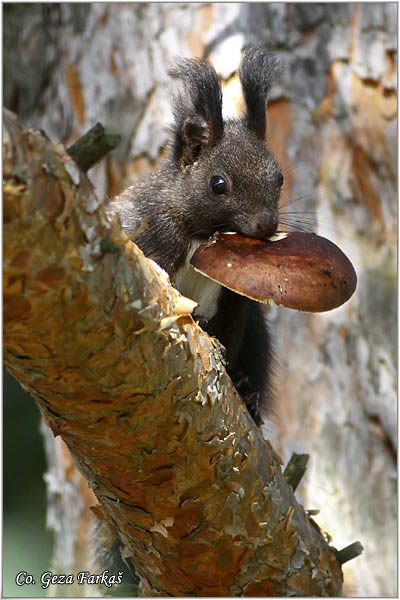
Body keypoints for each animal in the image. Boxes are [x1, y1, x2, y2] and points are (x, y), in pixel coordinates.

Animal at [104, 43, 282, 426]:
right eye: (218, 184)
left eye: (280, 179)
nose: (266, 225)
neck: (203, 236)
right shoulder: (151, 240)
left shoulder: (236, 301)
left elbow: (230, 333)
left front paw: (239, 383)